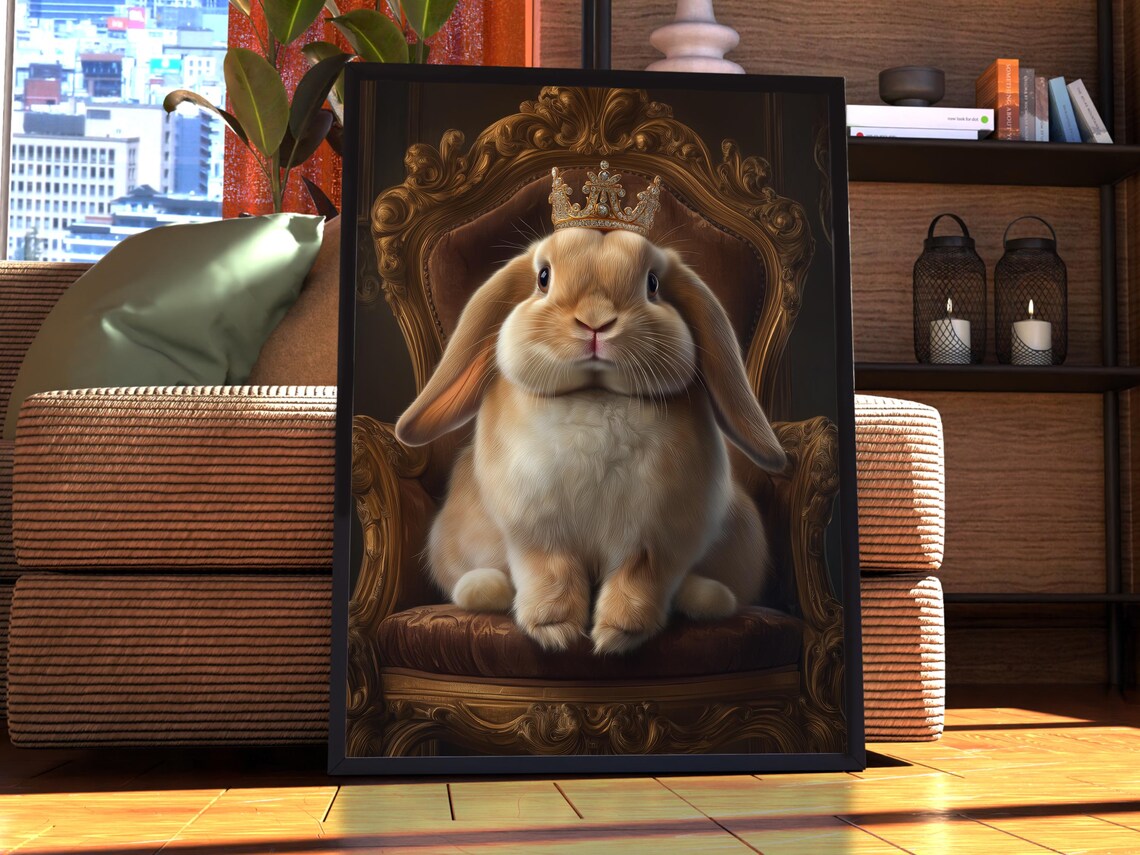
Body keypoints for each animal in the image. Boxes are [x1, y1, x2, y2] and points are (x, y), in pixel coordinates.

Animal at [395, 225, 787, 655]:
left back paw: (707, 597)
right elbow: (552, 573)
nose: (596, 322)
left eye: (652, 284)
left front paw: (619, 633)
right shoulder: (539, 532)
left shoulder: (655, 538)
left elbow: (637, 578)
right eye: (543, 277)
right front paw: (555, 630)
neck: (596, 396)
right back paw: (486, 588)